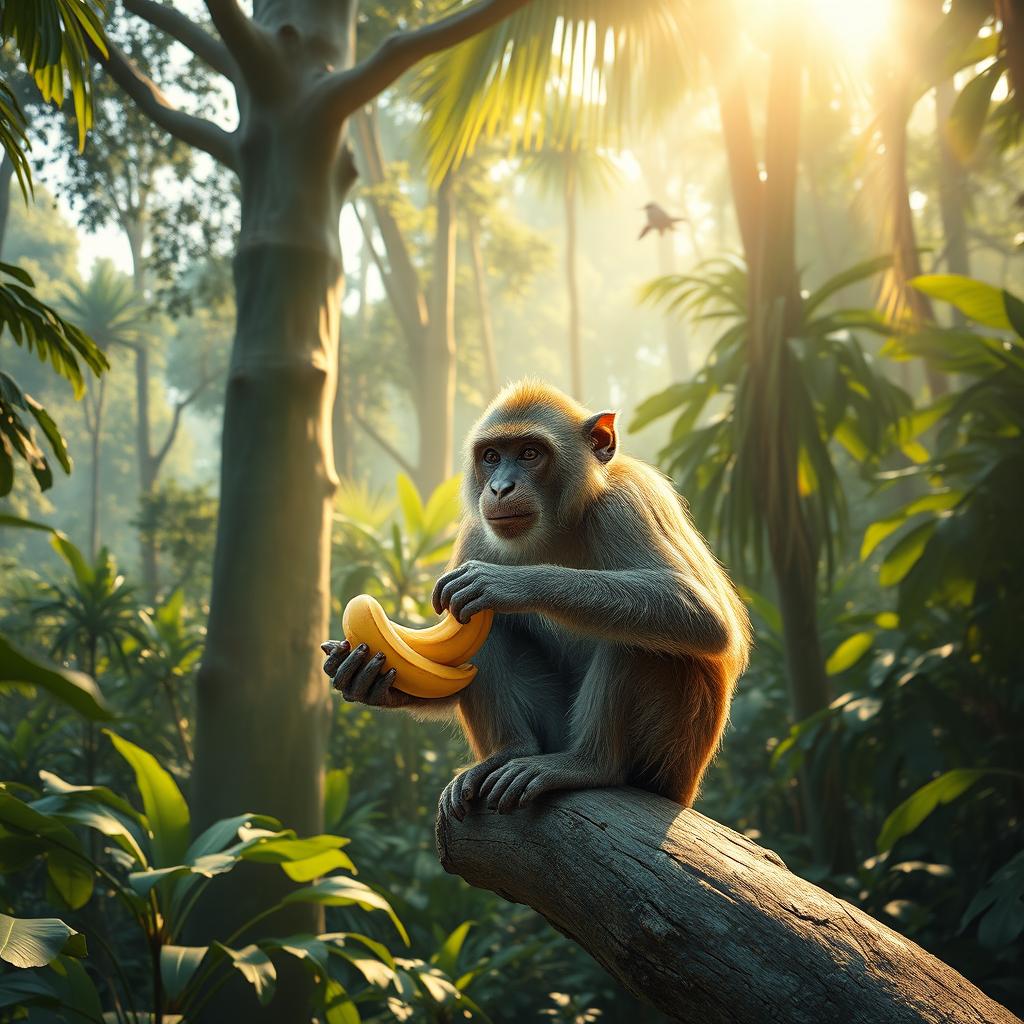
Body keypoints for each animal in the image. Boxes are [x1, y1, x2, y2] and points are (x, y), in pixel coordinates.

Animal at [321, 380, 751, 820]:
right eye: (492, 457)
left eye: (530, 453)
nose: (499, 488)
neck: (557, 527)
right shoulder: (478, 532)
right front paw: (366, 678)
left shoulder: (629, 501)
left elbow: (703, 615)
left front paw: (508, 582)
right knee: (485, 624)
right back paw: (510, 750)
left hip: (671, 761)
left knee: (645, 637)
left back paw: (588, 766)